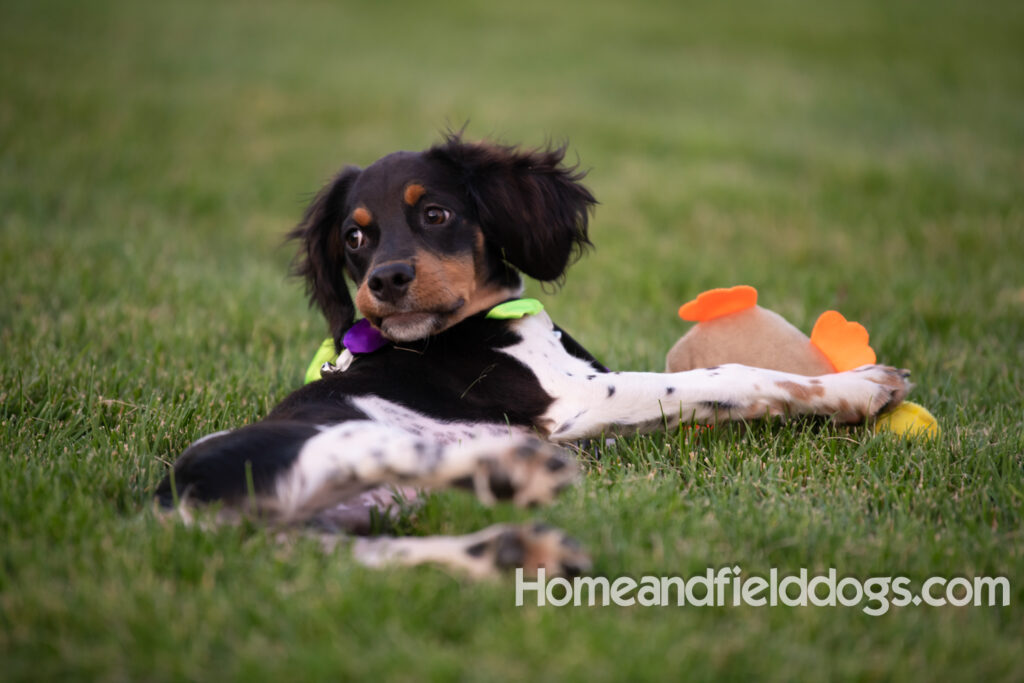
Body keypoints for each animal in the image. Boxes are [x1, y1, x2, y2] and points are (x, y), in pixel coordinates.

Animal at [153, 136, 913, 581]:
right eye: (353, 237)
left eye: (434, 214)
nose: (386, 281)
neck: (476, 320)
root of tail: (171, 505)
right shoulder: (575, 403)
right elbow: (726, 376)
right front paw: (860, 386)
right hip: (332, 446)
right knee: (393, 450)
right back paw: (510, 469)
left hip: (323, 536)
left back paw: (516, 548)